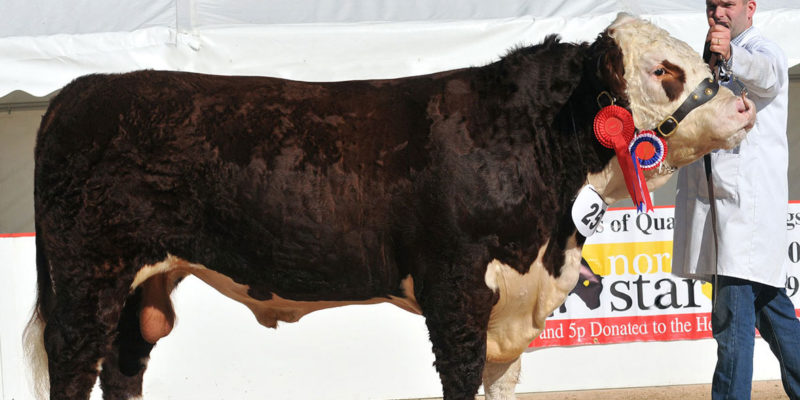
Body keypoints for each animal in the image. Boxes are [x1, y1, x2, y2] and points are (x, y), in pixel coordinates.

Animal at [26, 13, 754, 400]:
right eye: (663, 70)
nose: (745, 105)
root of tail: (81, 91)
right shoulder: (457, 291)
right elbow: (461, 376)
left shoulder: (513, 304)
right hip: (85, 277)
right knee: (74, 364)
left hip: (139, 285)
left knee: (123, 367)